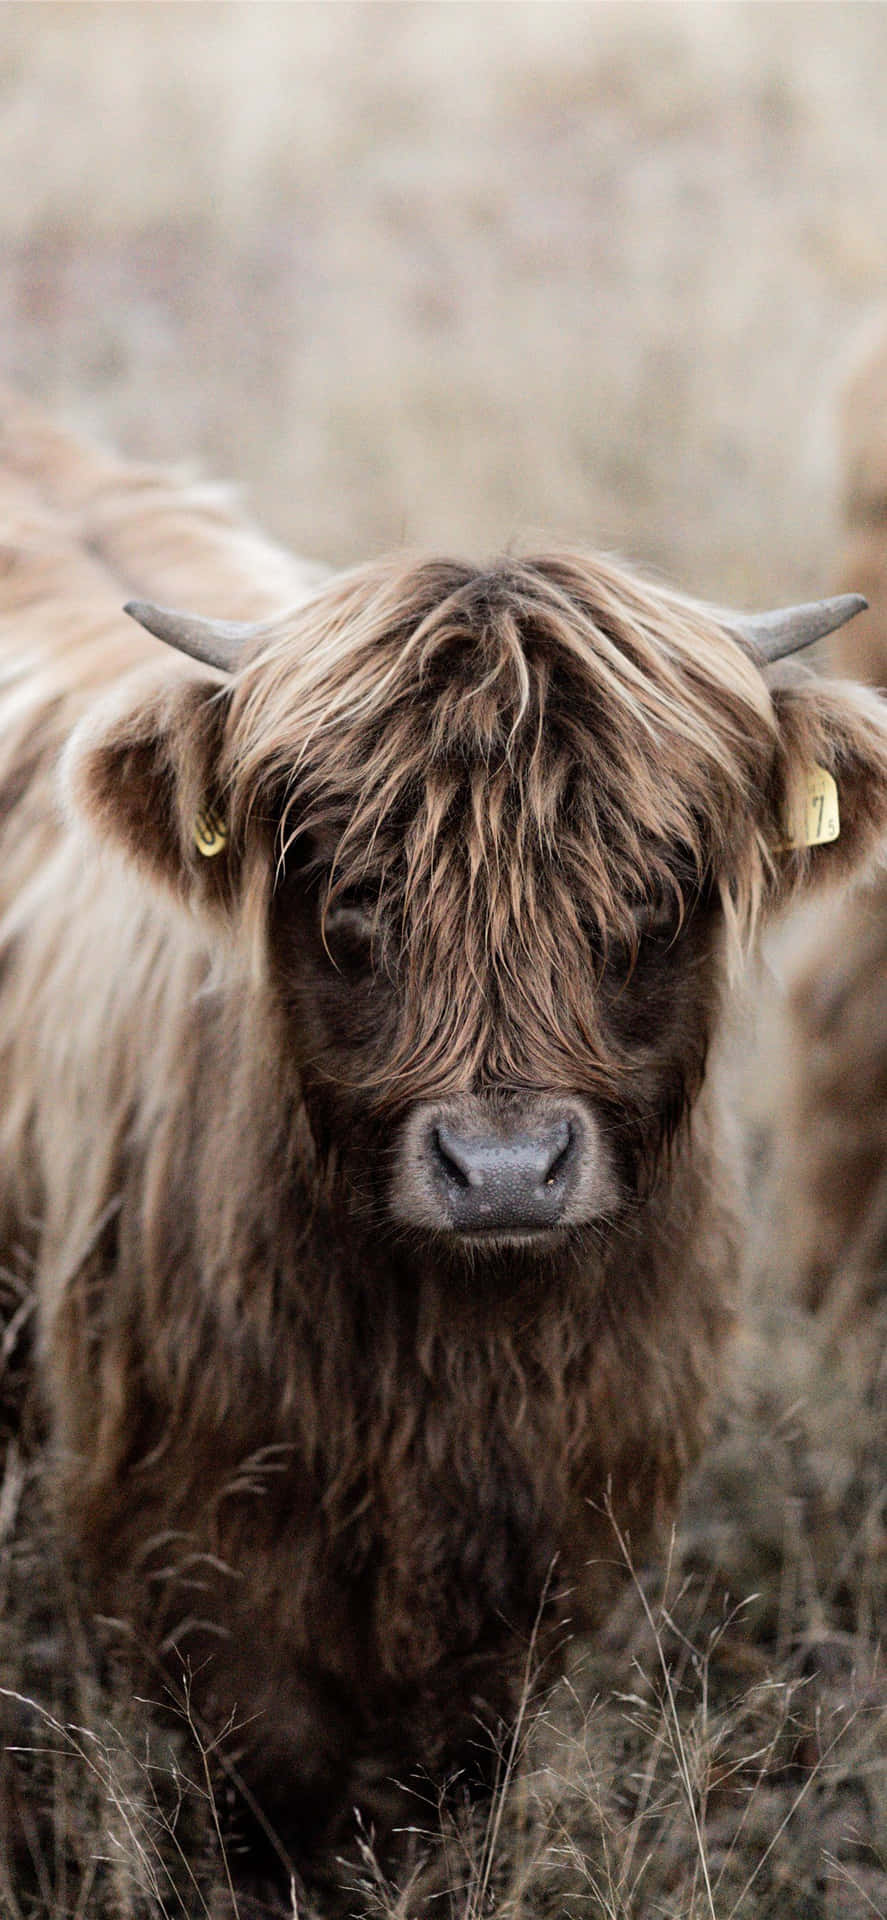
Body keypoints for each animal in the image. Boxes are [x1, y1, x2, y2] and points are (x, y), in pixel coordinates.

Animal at [0, 386, 886, 1892]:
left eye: (650, 890)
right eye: (351, 890)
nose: (504, 1170)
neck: (450, 1359)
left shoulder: (556, 1539)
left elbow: (449, 1782)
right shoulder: (191, 1548)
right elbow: (273, 1791)